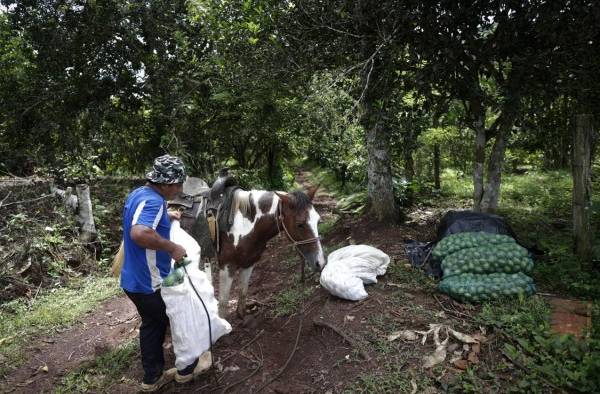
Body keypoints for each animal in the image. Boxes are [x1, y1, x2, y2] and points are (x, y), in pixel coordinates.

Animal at [217, 186, 326, 318]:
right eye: (300, 224)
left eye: (318, 221)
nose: (320, 262)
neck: (242, 224)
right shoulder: (227, 266)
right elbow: (223, 306)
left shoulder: (248, 263)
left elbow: (243, 293)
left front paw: (242, 316)